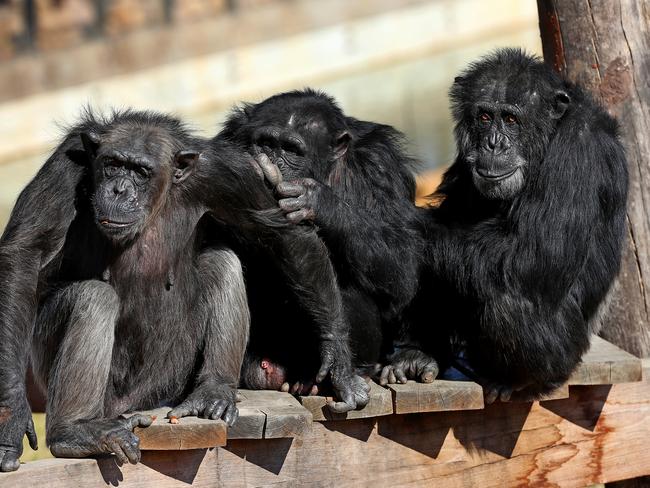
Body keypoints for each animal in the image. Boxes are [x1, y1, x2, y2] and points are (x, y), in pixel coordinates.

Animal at [0, 108, 364, 470]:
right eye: (112, 164)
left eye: (141, 172)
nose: (119, 189)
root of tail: (131, 405)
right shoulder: (65, 166)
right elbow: (25, 253)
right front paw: (13, 413)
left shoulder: (224, 172)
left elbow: (283, 232)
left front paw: (338, 361)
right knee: (93, 297)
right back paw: (76, 432)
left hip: (169, 378)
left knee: (221, 260)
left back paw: (213, 391)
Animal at [218, 88, 430, 392]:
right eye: (266, 143)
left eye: (291, 150)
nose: (274, 161)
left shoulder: (382, 164)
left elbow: (402, 266)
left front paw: (315, 199)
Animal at [390, 47, 628, 402]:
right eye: (486, 117)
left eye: (512, 120)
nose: (494, 143)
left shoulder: (579, 152)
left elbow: (535, 256)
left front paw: (394, 218)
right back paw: (417, 355)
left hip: (562, 359)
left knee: (507, 299)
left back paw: (515, 382)